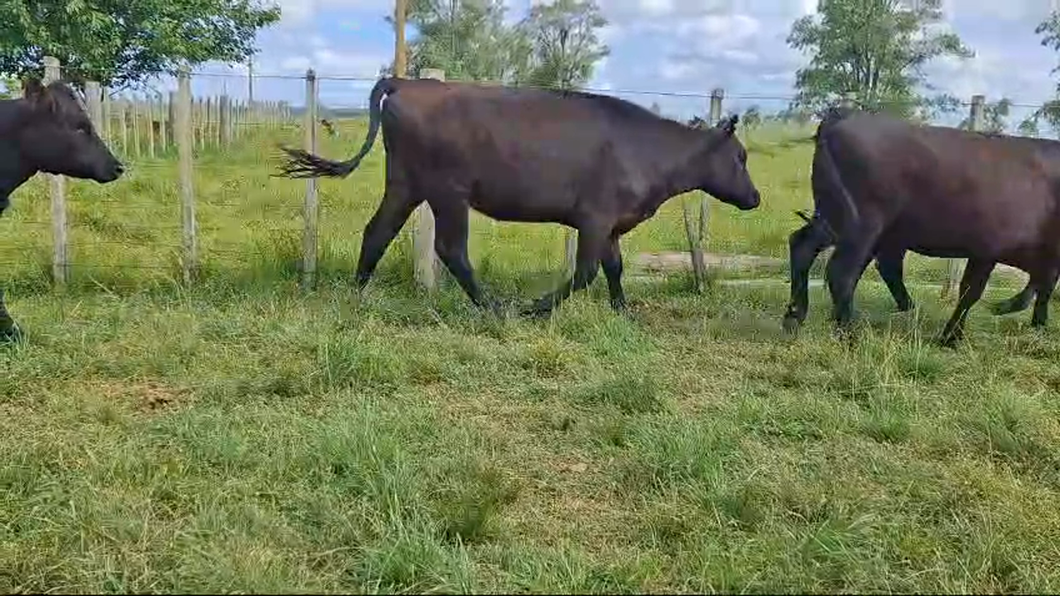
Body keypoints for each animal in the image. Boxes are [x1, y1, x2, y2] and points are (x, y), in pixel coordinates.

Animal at [279, 77, 763, 316]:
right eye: (740, 157)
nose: (756, 198)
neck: (650, 150)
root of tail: (410, 82)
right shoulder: (594, 218)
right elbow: (586, 272)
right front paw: (538, 307)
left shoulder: (611, 225)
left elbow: (614, 268)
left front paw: (624, 311)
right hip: (448, 192)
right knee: (451, 249)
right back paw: (493, 308)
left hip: (406, 185)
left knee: (377, 232)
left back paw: (357, 296)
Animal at [784, 106, 1055, 343]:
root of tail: (845, 116)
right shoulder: (989, 247)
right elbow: (973, 292)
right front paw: (951, 337)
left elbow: (1043, 286)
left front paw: (1036, 325)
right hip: (862, 225)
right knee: (843, 273)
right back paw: (849, 335)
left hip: (835, 219)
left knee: (803, 246)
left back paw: (794, 317)